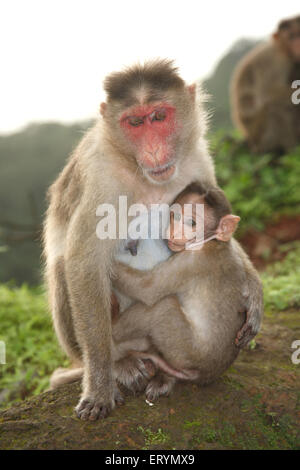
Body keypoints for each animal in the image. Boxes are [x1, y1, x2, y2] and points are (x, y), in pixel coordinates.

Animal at [112, 184, 262, 400]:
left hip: (186, 351)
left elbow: (147, 289)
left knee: (162, 307)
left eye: (192, 222)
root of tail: (205, 375)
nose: (174, 232)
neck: (213, 241)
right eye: (174, 216)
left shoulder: (192, 261)